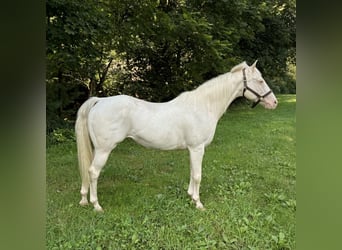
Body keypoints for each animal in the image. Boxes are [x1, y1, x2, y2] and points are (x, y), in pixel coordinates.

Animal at [75, 60, 278, 211]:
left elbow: (192, 172)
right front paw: (198, 203)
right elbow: (198, 175)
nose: (274, 102)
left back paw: (84, 199)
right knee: (93, 172)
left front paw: (190, 196)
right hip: (104, 150)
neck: (203, 105)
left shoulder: (192, 149)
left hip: (97, 149)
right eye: (260, 81)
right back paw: (96, 205)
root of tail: (99, 101)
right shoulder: (197, 148)